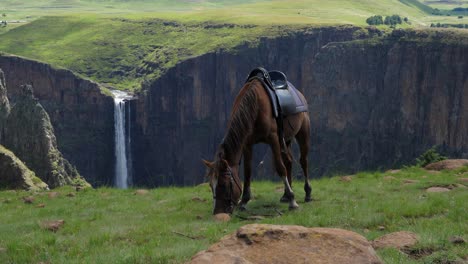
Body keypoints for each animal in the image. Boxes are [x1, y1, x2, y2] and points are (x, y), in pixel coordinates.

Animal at [202, 77, 308, 216]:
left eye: (224, 185)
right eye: (210, 185)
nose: (217, 213)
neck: (255, 105)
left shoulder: (274, 139)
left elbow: (280, 168)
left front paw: (293, 201)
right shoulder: (247, 144)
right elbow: (247, 172)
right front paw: (244, 202)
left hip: (303, 131)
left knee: (303, 161)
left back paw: (307, 193)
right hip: (287, 139)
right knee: (289, 161)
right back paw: (285, 195)